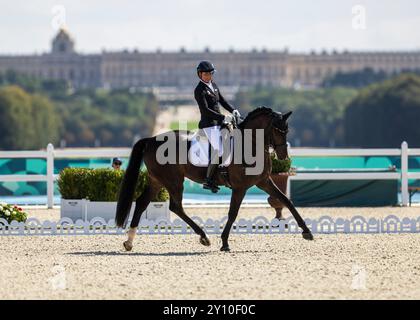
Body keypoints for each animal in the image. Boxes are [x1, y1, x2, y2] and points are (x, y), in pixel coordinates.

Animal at [116, 106, 314, 251]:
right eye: (277, 130)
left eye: (286, 130)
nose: (283, 156)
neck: (250, 145)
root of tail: (151, 139)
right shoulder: (240, 187)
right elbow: (233, 213)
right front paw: (225, 242)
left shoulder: (263, 181)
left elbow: (286, 200)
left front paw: (307, 232)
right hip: (173, 180)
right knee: (176, 207)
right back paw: (204, 237)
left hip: (157, 180)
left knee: (142, 203)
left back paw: (129, 242)